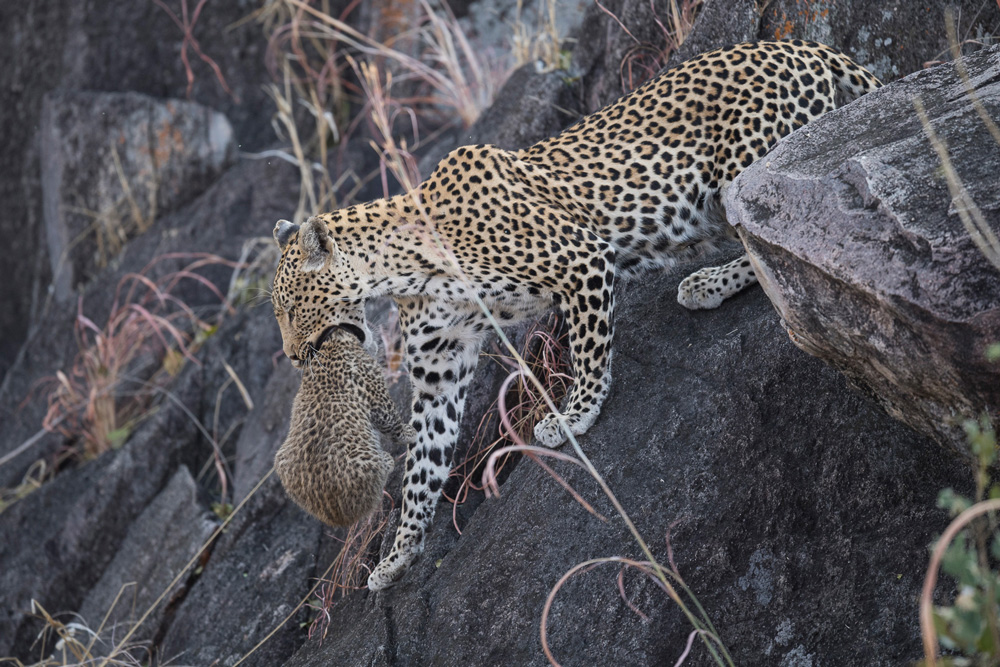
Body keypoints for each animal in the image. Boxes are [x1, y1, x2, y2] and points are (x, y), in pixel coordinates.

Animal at [272, 328, 416, 528]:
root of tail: (335, 517)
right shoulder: (375, 392)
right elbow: (391, 420)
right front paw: (409, 433)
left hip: (281, 461)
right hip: (362, 460)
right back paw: (387, 460)